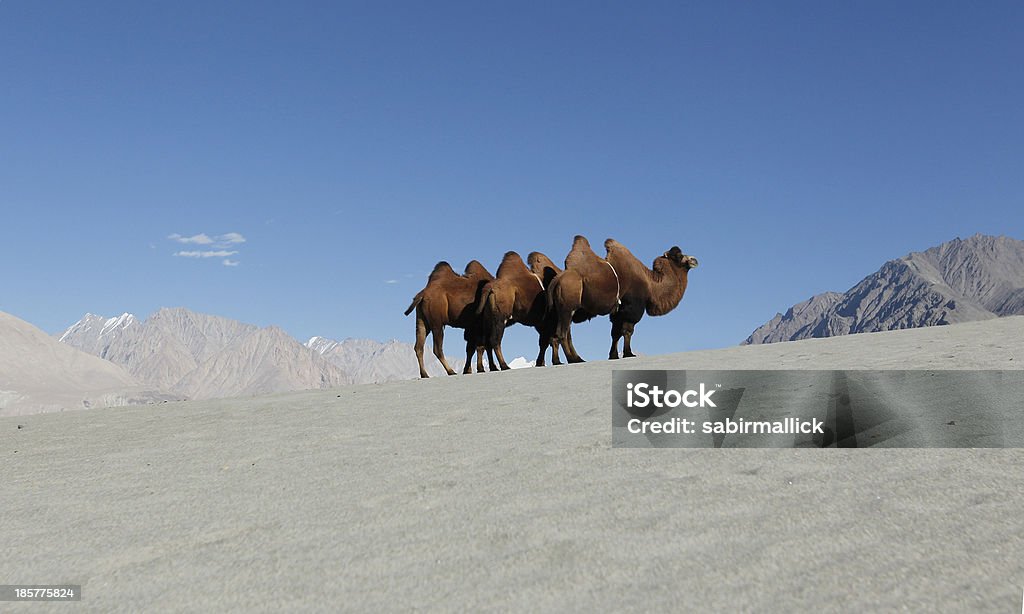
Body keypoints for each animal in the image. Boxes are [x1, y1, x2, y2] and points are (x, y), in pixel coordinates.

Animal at [548, 235, 700, 360]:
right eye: (678, 255)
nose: (694, 260)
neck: (651, 284)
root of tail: (557, 279)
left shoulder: (618, 312)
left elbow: (615, 333)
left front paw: (613, 355)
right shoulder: (632, 308)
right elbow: (627, 331)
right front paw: (629, 353)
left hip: (561, 310)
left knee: (560, 334)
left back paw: (573, 359)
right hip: (567, 308)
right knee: (562, 333)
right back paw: (572, 359)